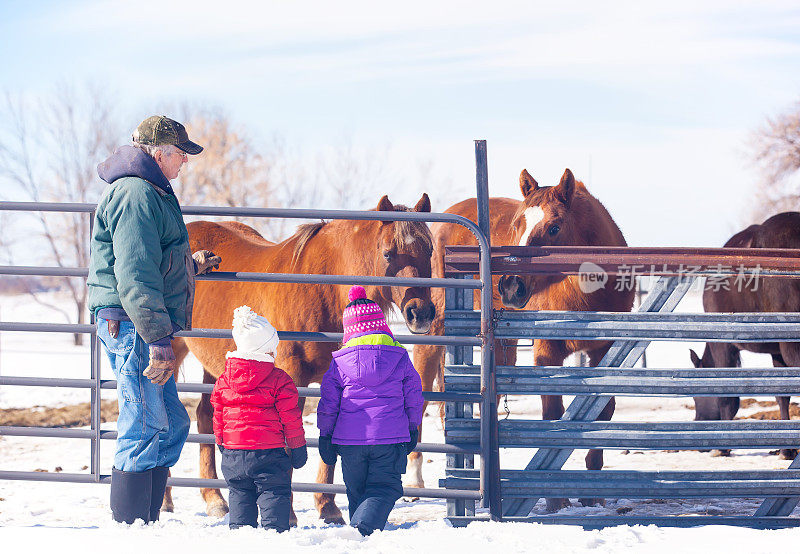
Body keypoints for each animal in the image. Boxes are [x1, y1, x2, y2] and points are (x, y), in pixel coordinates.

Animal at [167, 195, 438, 520]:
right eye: (388, 254)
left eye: (429, 251)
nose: (420, 314)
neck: (321, 286)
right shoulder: (292, 378)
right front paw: (289, 513)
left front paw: (328, 506)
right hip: (172, 354)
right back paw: (167, 499)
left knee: (206, 418)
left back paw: (215, 499)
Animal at [496, 167, 636, 504]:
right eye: (517, 223)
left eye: (554, 227)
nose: (510, 286)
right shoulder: (547, 352)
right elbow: (552, 414)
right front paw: (554, 499)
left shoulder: (603, 350)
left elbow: (601, 412)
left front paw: (592, 494)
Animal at [688, 210, 800, 458]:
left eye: (696, 394)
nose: (698, 420)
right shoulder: (777, 351)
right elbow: (782, 395)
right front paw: (786, 449)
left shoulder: (723, 344)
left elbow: (727, 397)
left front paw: (723, 447)